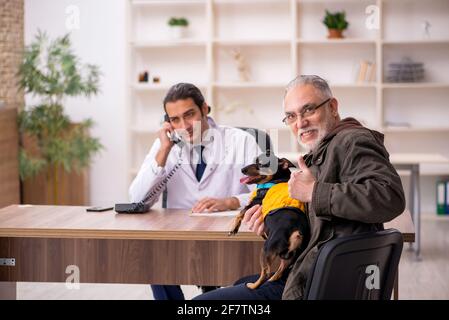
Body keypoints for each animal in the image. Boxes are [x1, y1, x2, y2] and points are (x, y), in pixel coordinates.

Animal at [228, 152, 308, 290]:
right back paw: (273, 278)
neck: (275, 180)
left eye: (261, 164)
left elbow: (240, 213)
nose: (242, 169)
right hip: (290, 255)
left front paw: (233, 228)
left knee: (265, 272)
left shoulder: (254, 204)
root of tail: (296, 232)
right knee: (282, 268)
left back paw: (253, 285)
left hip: (266, 250)